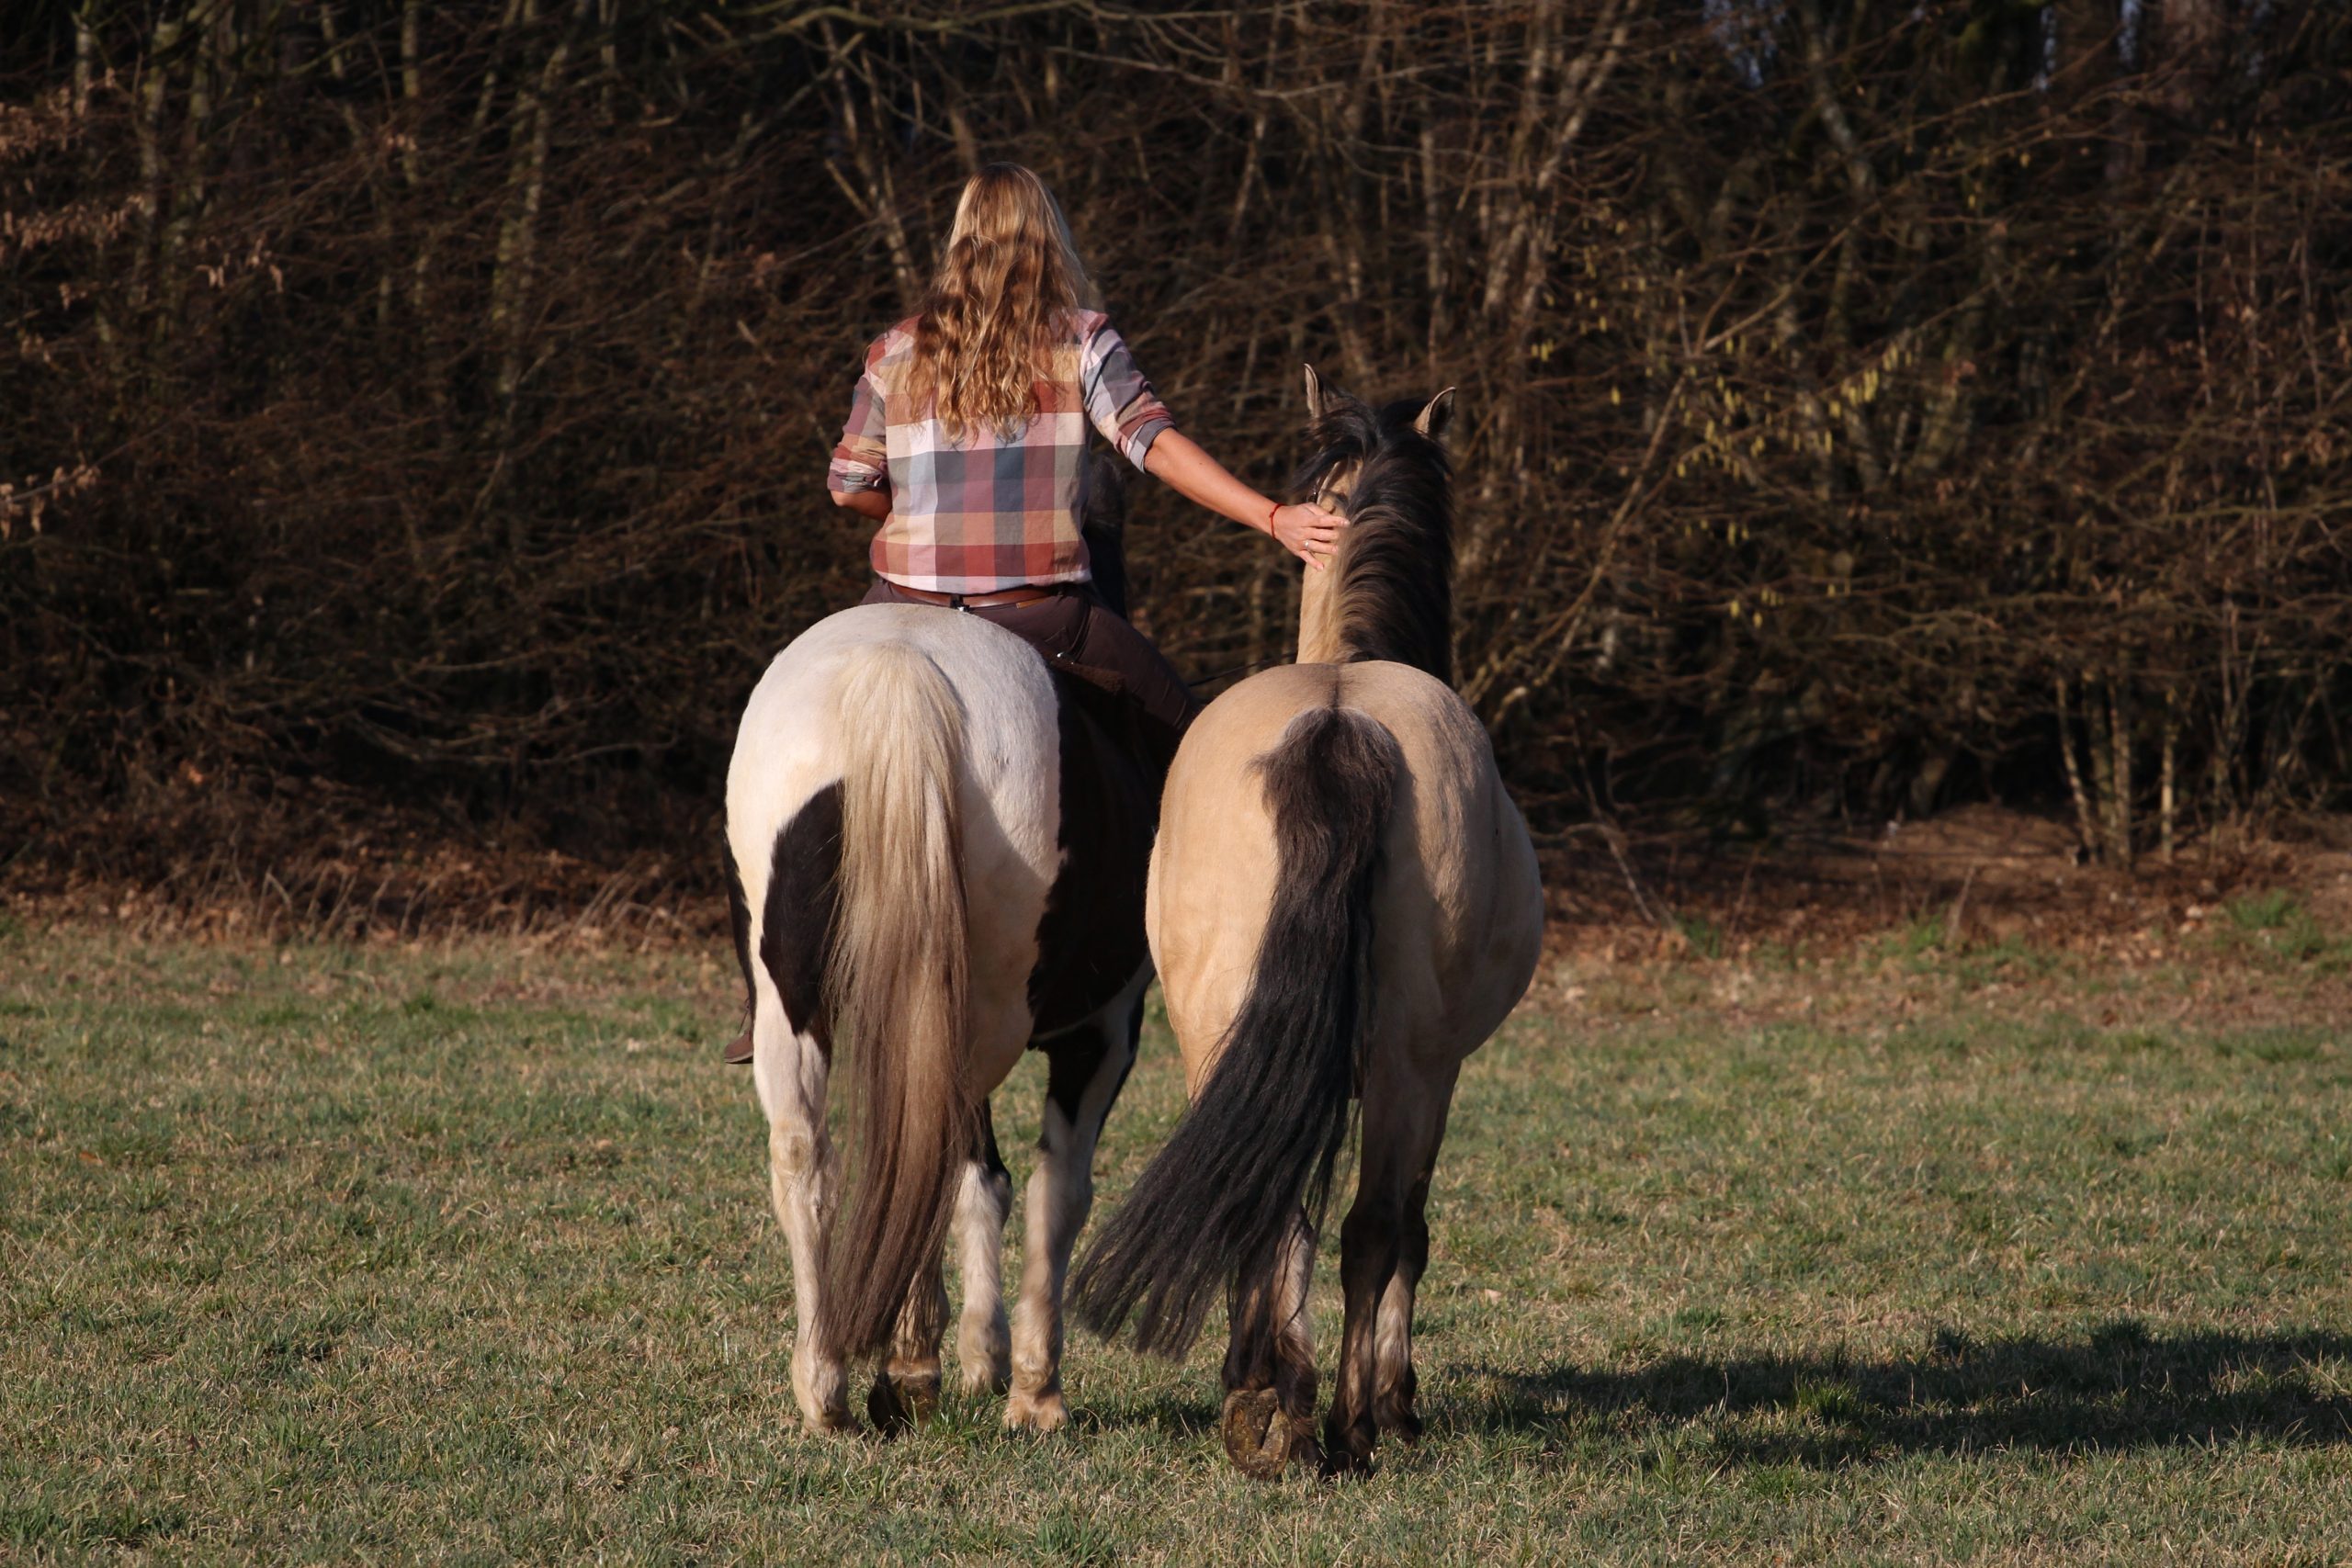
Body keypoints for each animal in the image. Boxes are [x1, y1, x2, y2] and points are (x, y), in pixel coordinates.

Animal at [719, 472, 1152, 1438]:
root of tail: (902, 666)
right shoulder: (1105, 1030)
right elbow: (1052, 1188)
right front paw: (1026, 1382)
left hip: (794, 993)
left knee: (811, 1151)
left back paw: (829, 1382)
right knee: (945, 1145)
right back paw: (916, 1364)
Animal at [1068, 373, 1543, 1476]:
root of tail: (1335, 719)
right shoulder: (1442, 1070)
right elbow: (1410, 1231)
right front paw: (1398, 1402)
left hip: (1215, 1029)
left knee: (1263, 1194)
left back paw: (1263, 1400)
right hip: (1410, 1058)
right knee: (1373, 1227)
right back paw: (1351, 1426)